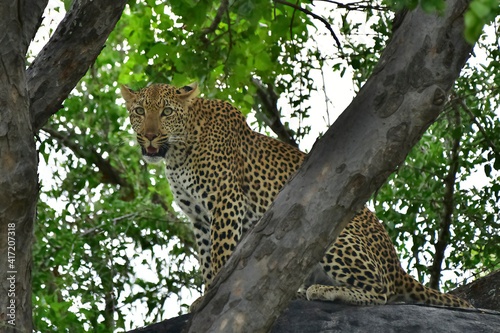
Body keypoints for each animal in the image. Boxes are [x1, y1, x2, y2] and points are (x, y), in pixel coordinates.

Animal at [120, 82, 472, 308]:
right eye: (138, 110)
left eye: (166, 112)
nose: (149, 135)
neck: (178, 152)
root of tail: (397, 265)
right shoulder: (199, 217)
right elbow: (206, 258)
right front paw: (204, 294)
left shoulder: (226, 201)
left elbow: (220, 255)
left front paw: (208, 297)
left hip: (332, 232)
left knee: (383, 292)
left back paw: (324, 291)